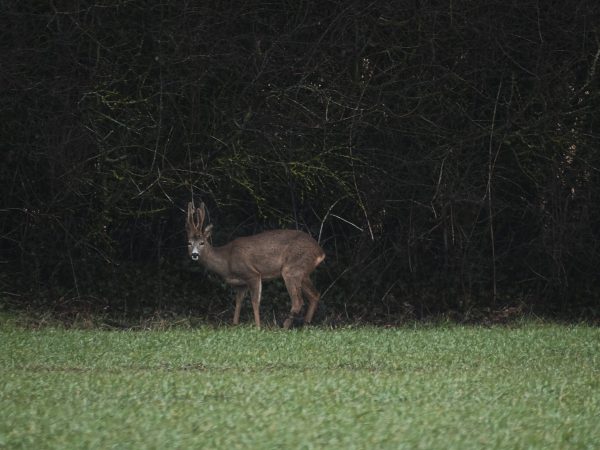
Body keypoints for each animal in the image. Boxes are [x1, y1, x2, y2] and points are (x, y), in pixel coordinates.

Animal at [185, 202, 326, 328]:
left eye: (202, 242)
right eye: (189, 243)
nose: (195, 254)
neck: (227, 261)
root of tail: (320, 251)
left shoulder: (252, 274)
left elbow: (255, 302)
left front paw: (258, 327)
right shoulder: (241, 284)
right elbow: (238, 302)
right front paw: (234, 324)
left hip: (291, 269)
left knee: (298, 301)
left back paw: (284, 327)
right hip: (303, 272)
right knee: (315, 295)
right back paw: (306, 324)